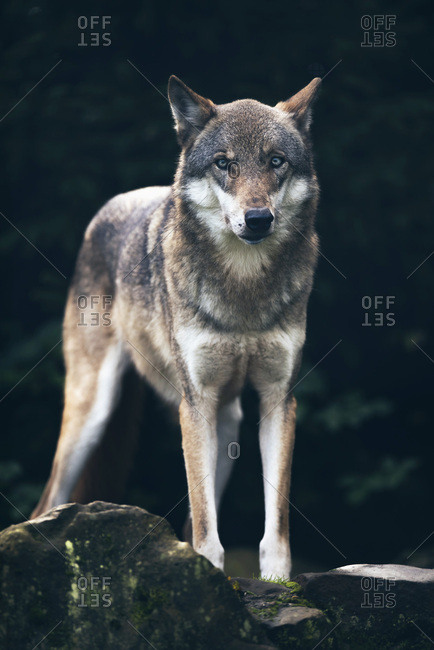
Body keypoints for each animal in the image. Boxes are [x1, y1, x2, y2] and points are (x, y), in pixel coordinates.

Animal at [31, 75, 321, 578]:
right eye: (224, 163)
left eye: (276, 161)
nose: (258, 219)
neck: (243, 290)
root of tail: (112, 204)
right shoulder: (195, 400)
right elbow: (205, 521)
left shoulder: (278, 400)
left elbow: (274, 518)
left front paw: (277, 581)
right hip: (91, 414)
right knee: (49, 499)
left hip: (227, 424)